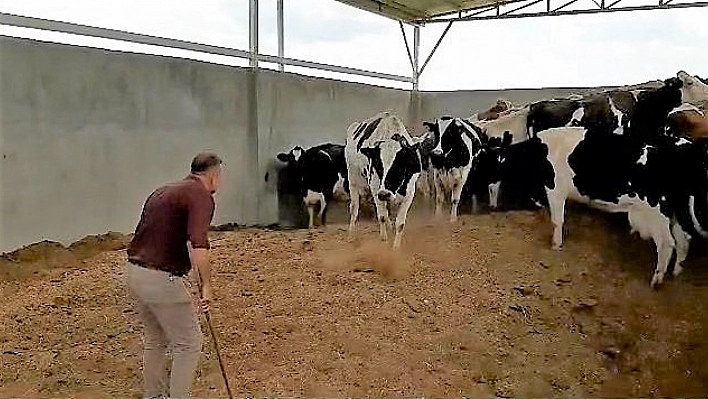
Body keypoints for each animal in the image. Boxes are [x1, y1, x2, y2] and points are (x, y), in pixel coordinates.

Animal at [344, 109, 424, 247]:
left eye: (399, 167)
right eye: (378, 166)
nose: (384, 194)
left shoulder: (409, 192)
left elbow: (400, 224)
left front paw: (396, 248)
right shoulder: (376, 188)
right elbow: (382, 217)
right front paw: (384, 243)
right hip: (353, 179)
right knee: (354, 208)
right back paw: (351, 235)